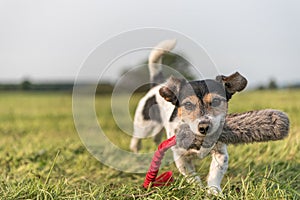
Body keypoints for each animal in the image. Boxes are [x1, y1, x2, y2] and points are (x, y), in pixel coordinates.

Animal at [130, 39, 247, 194]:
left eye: (216, 101)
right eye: (188, 105)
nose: (204, 127)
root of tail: (157, 85)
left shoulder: (221, 153)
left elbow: (215, 175)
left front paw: (214, 192)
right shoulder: (181, 158)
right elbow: (192, 177)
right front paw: (199, 190)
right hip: (144, 125)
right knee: (136, 139)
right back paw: (135, 151)